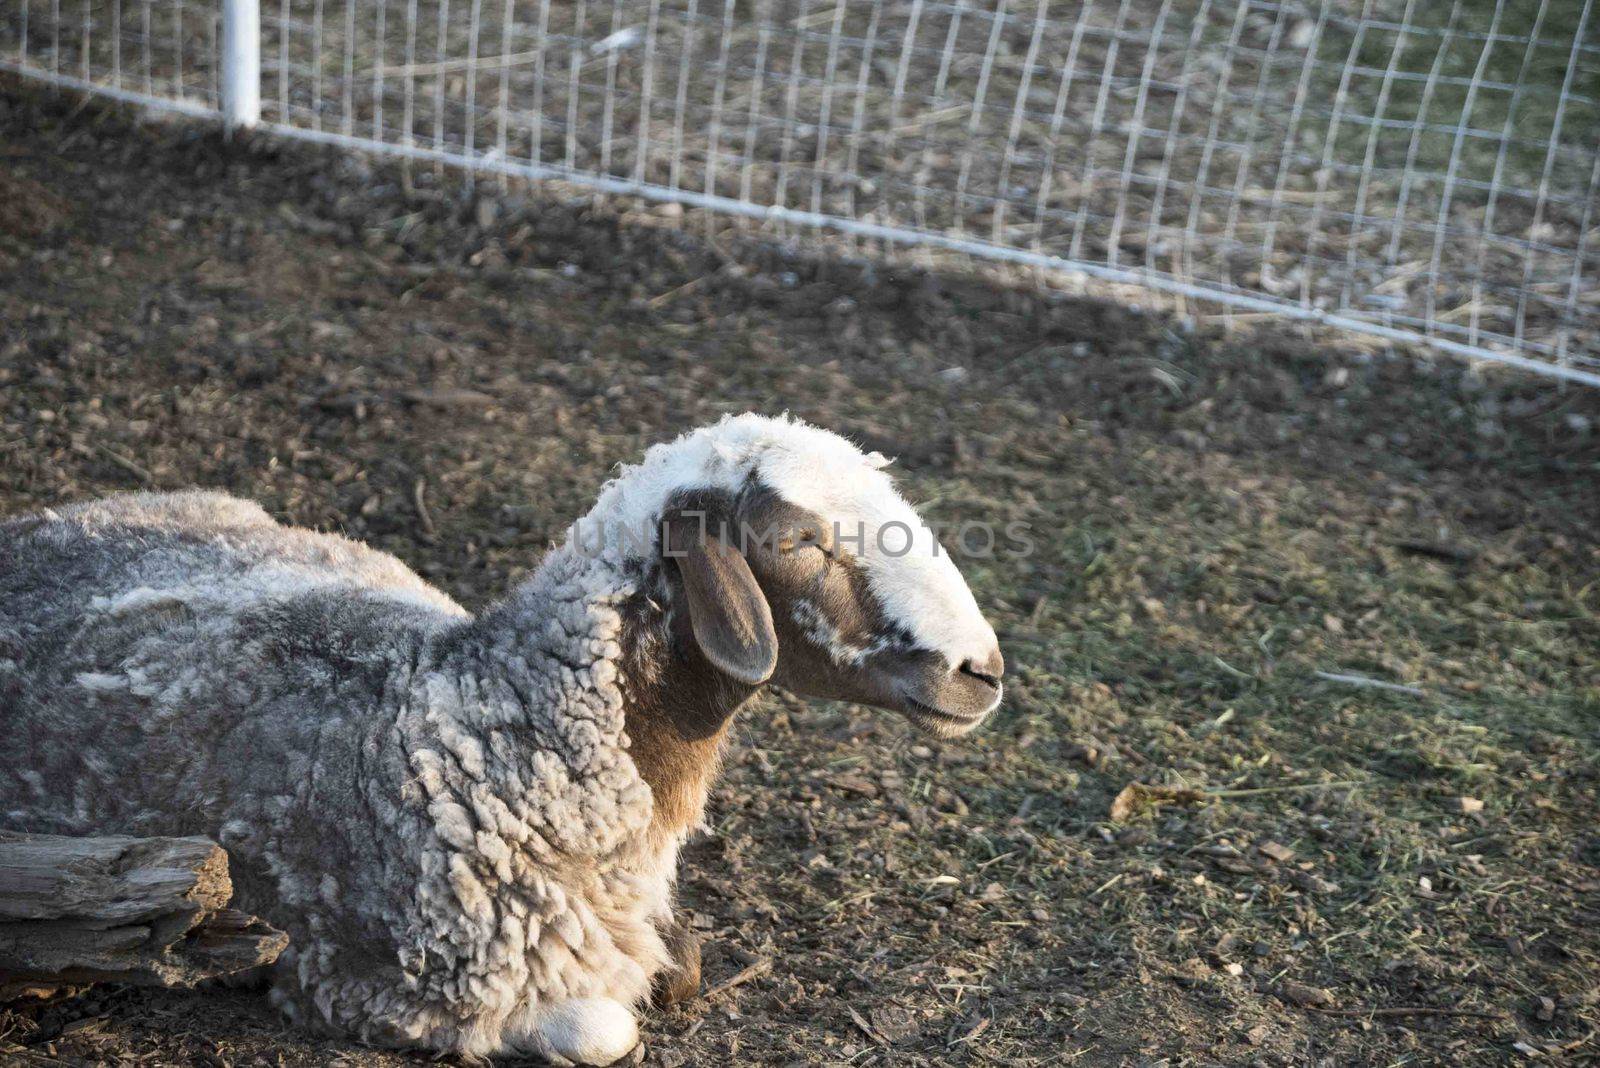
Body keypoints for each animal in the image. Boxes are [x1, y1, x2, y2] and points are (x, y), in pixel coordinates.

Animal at [0, 412, 998, 1061]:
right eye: (797, 540)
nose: (980, 671)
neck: (503, 722)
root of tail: (42, 524)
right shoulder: (406, 982)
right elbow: (606, 1029)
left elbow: (678, 967)